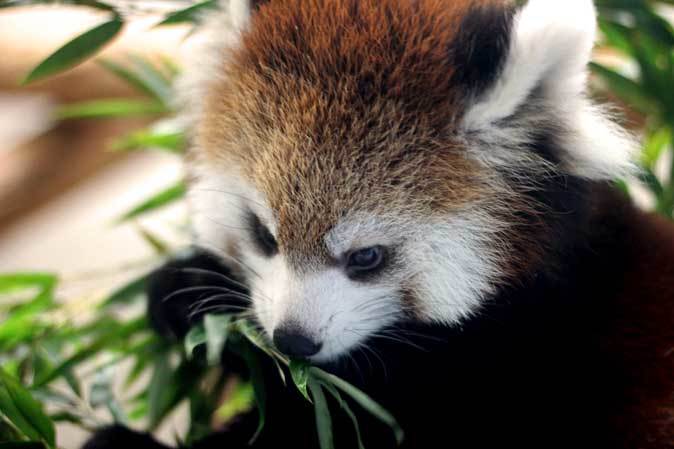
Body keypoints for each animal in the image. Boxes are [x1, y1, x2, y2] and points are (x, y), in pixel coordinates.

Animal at [85, 0, 672, 448]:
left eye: (366, 257)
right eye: (263, 235)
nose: (294, 340)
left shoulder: (499, 365)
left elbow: (329, 416)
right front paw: (190, 291)